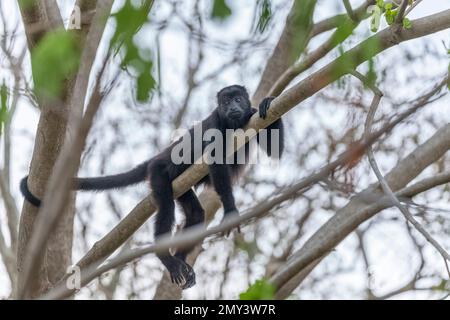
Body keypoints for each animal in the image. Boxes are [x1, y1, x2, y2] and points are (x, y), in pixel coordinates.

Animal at [21, 85, 284, 290]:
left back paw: (181, 261)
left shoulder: (251, 119)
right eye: (226, 101)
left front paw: (268, 102)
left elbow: (275, 151)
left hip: (181, 187)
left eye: (238, 99)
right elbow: (216, 163)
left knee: (196, 214)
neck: (232, 123)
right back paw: (165, 256)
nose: (233, 107)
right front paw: (230, 210)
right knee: (166, 207)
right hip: (159, 174)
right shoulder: (216, 125)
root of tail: (158, 157)